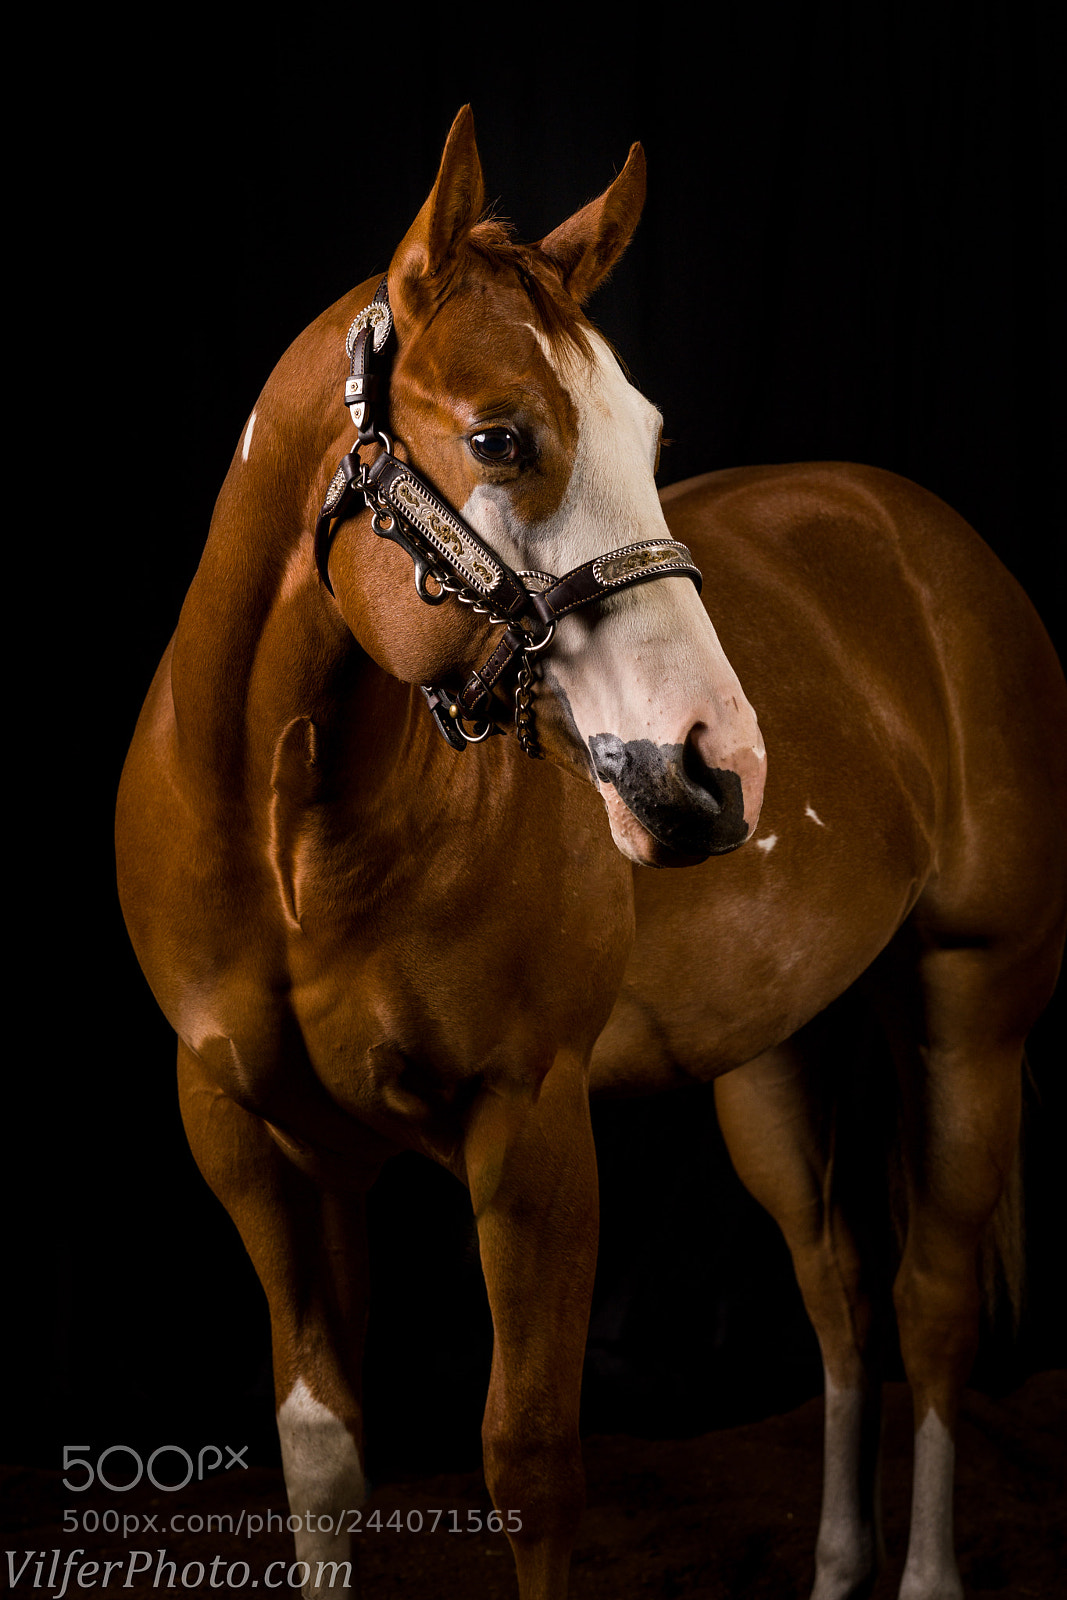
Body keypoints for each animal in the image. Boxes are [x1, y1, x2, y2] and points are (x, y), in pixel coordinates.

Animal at [116, 107, 1066, 1600]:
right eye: (499, 436)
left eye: (648, 433)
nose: (716, 770)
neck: (293, 840)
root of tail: (921, 535)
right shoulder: (254, 1139)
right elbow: (320, 1455)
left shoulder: (530, 1128)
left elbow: (529, 1462)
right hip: (769, 1056)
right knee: (839, 1297)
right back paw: (835, 1566)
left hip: (967, 1007)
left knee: (929, 1303)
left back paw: (917, 1574)